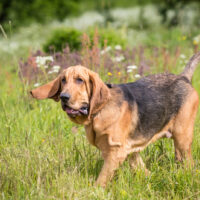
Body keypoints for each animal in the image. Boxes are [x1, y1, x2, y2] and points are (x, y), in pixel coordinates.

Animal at [30, 51, 200, 188]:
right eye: (63, 80)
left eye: (80, 80)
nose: (64, 97)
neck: (98, 113)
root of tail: (183, 77)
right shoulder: (125, 150)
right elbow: (142, 170)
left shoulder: (115, 152)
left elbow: (101, 181)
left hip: (182, 137)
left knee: (189, 163)